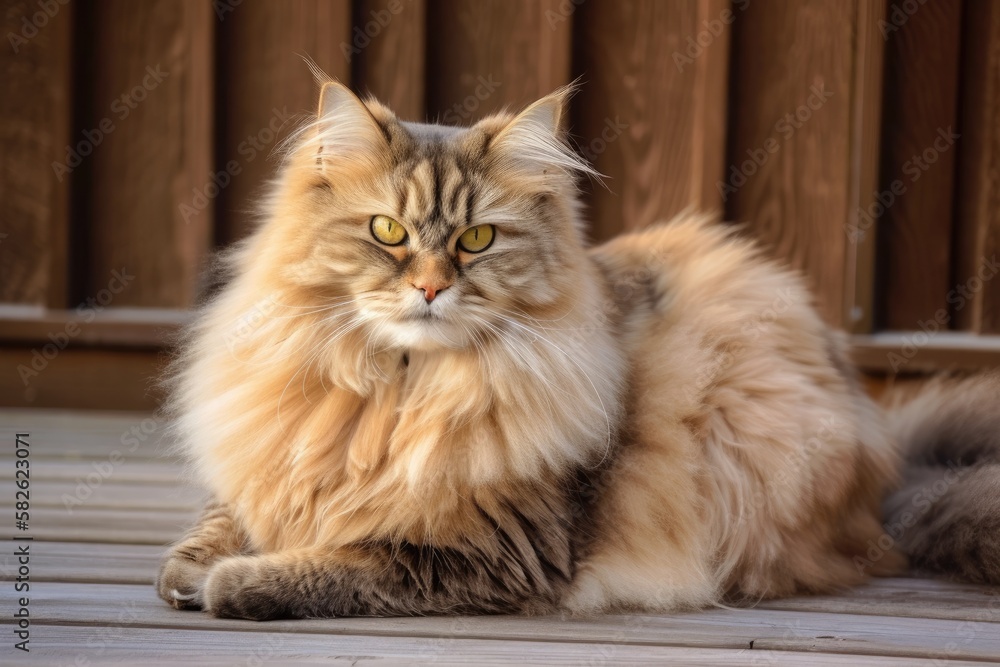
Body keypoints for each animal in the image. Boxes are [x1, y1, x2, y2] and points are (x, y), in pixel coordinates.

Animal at [154, 82, 1000, 620]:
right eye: (387, 232)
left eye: (477, 239)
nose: (429, 288)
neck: (397, 390)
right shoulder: (277, 460)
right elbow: (226, 513)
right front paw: (189, 566)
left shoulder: (492, 547)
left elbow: (342, 560)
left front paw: (234, 581)